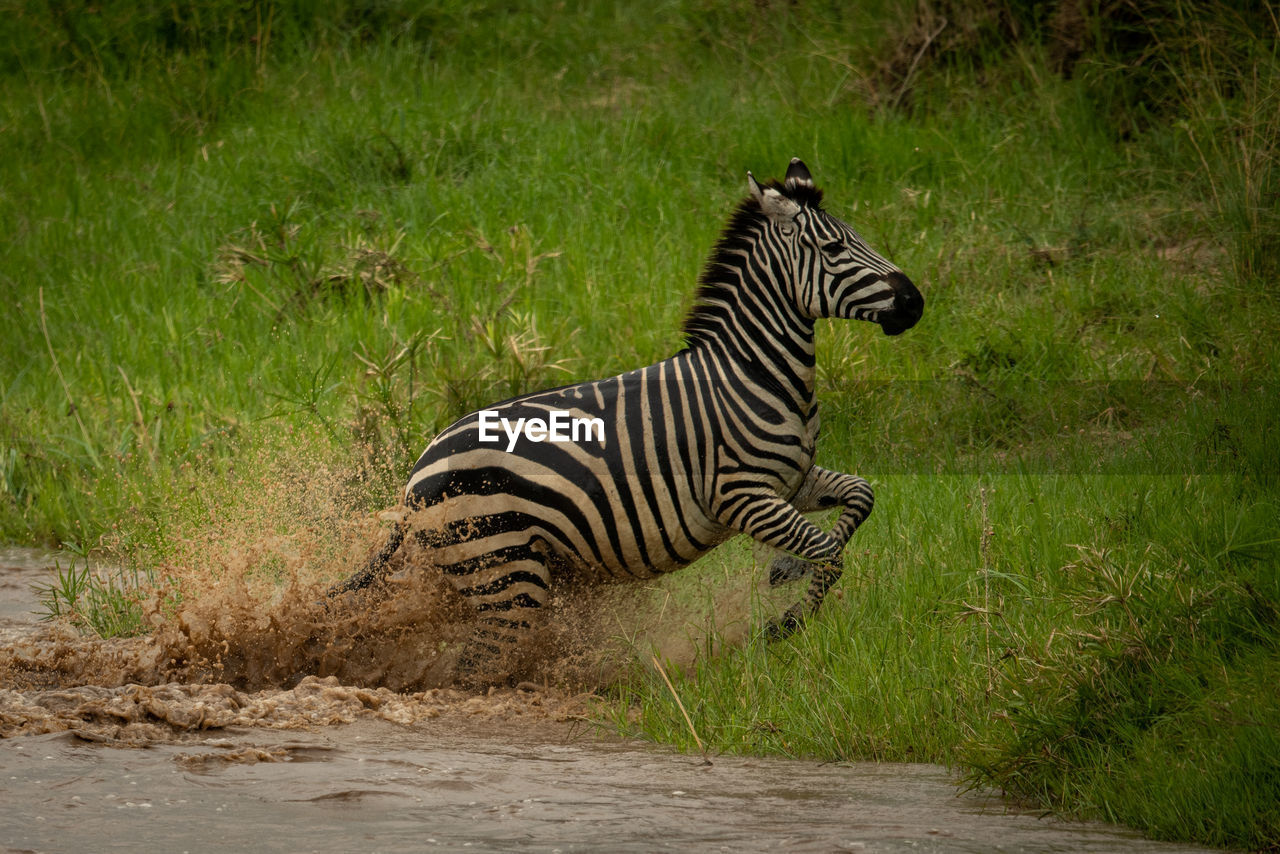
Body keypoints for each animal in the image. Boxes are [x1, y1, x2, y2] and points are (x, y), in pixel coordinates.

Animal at [330, 158, 921, 681]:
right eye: (834, 248)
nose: (915, 303)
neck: (754, 373)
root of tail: (415, 476)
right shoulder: (741, 494)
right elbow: (828, 552)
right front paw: (785, 623)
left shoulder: (792, 481)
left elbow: (861, 496)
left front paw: (786, 569)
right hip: (506, 572)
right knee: (475, 668)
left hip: (492, 571)